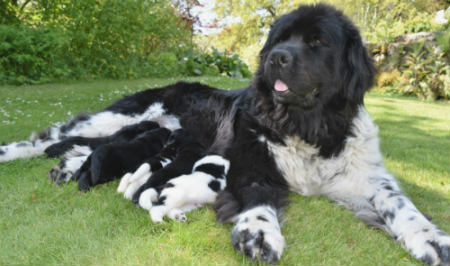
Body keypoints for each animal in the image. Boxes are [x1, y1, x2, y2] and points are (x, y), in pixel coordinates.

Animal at [0, 4, 450, 266]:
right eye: (280, 39)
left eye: (318, 42)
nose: (276, 57)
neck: (305, 122)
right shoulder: (250, 162)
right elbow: (257, 197)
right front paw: (259, 232)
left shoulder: (364, 174)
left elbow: (398, 202)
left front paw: (431, 238)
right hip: (120, 116)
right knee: (51, 136)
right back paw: (13, 152)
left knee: (83, 148)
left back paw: (69, 168)